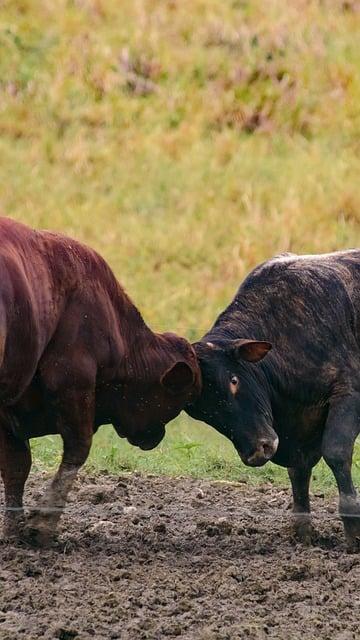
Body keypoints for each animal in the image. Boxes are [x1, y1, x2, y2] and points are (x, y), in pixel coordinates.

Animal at [0, 218, 200, 544]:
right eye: (177, 399)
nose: (155, 436)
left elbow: (16, 467)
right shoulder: (73, 383)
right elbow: (76, 451)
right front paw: (43, 526)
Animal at [187, 250, 360, 552]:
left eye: (234, 381)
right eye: (203, 412)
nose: (258, 450)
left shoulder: (349, 393)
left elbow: (336, 452)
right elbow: (299, 472)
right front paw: (302, 533)